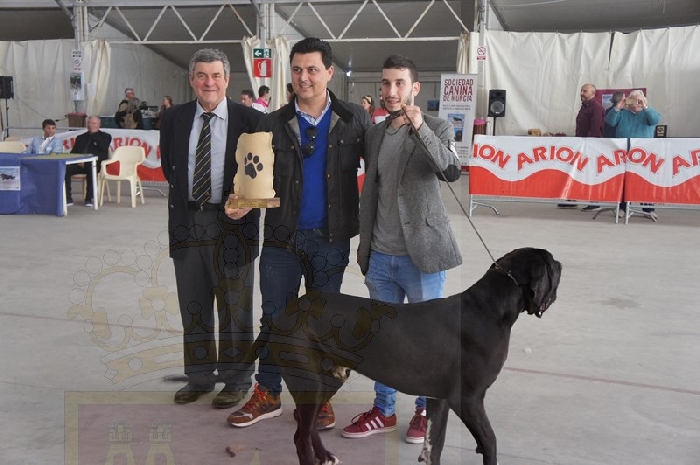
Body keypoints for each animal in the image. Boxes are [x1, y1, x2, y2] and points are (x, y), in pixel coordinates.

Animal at [166, 247, 561, 465]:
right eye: (554, 267)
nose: (560, 267)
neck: (492, 307)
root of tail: (284, 312)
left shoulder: (440, 398)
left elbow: (434, 445)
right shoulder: (470, 398)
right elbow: (490, 442)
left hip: (328, 378)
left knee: (307, 425)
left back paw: (326, 456)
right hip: (310, 379)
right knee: (299, 434)